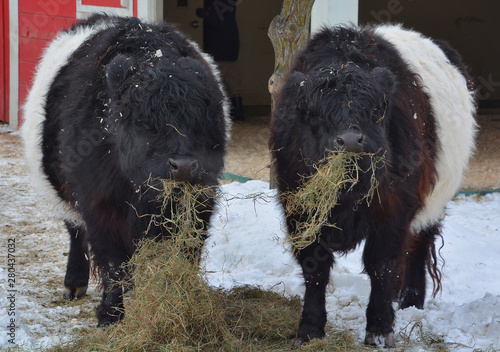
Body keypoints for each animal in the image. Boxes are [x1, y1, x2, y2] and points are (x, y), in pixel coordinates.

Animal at [20, 14, 230, 328]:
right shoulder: (99, 206)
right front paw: (110, 314)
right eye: (141, 120)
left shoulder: (201, 201)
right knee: (75, 233)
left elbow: (187, 253)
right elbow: (112, 263)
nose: (182, 166)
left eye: (201, 118)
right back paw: (74, 283)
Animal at [270, 24, 476, 346]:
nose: (351, 141)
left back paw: (410, 301)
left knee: (418, 246)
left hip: (433, 201)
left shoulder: (394, 209)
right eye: (315, 112)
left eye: (377, 110)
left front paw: (379, 329)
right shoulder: (300, 211)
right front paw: (310, 329)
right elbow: (314, 269)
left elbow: (382, 266)